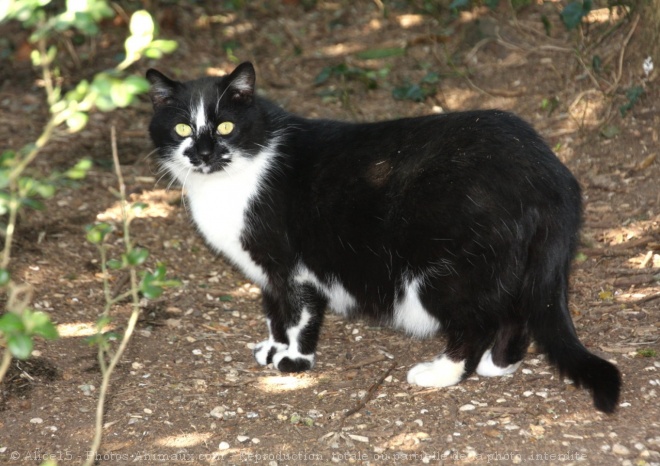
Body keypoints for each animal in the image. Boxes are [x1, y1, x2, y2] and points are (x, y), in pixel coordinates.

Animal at [147, 61, 620, 412]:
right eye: (183, 129)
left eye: (225, 127)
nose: (204, 153)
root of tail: (547, 171)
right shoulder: (268, 272)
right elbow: (274, 311)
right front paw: (273, 347)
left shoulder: (291, 264)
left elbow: (298, 313)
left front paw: (294, 360)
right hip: (507, 262)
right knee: (516, 311)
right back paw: (498, 365)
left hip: (448, 269)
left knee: (479, 320)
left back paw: (443, 372)